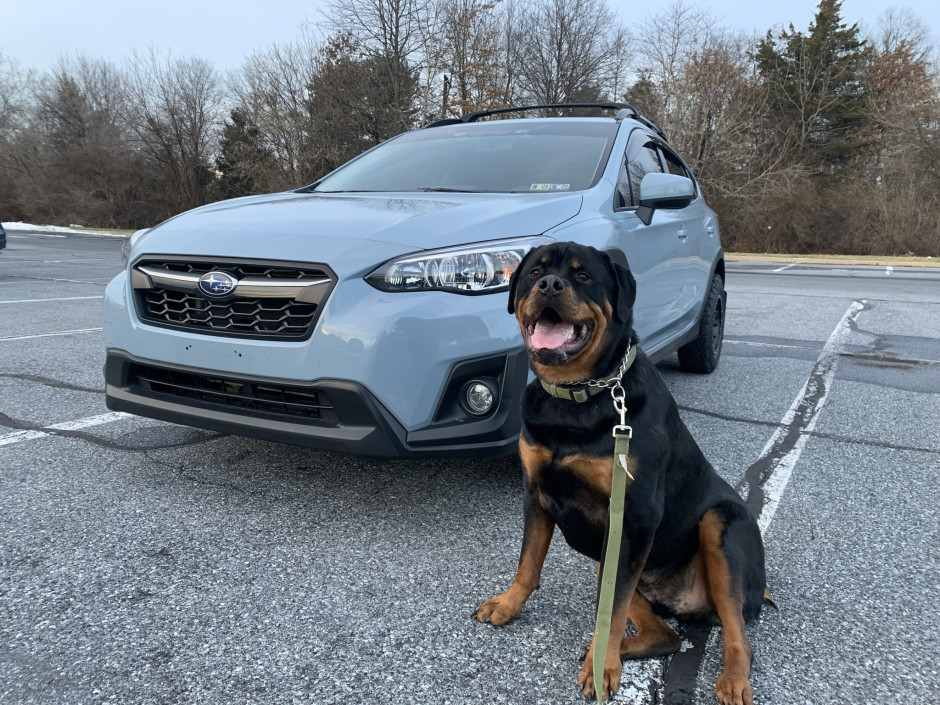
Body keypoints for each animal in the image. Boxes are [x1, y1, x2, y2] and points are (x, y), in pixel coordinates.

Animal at [474, 243, 768, 704]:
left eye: (582, 276)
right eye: (536, 271)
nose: (550, 284)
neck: (576, 397)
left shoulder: (633, 517)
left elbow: (608, 613)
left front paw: (604, 669)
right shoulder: (536, 493)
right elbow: (528, 562)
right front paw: (508, 604)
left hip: (719, 527)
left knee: (738, 631)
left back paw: (733, 679)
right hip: (609, 564)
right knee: (666, 635)